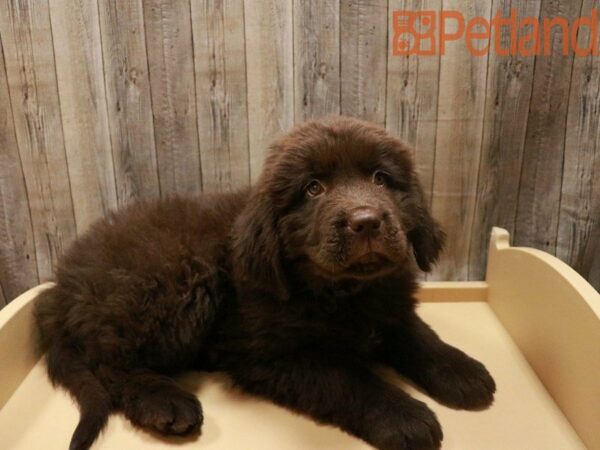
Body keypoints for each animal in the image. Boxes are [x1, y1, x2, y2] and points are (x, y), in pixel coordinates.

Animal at [32, 117, 494, 450]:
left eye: (381, 178)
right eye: (313, 188)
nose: (366, 221)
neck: (342, 291)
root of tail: (60, 286)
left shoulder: (390, 306)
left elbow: (418, 334)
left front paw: (462, 370)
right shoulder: (271, 355)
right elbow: (348, 378)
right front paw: (403, 416)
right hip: (175, 281)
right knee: (110, 363)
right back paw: (164, 401)